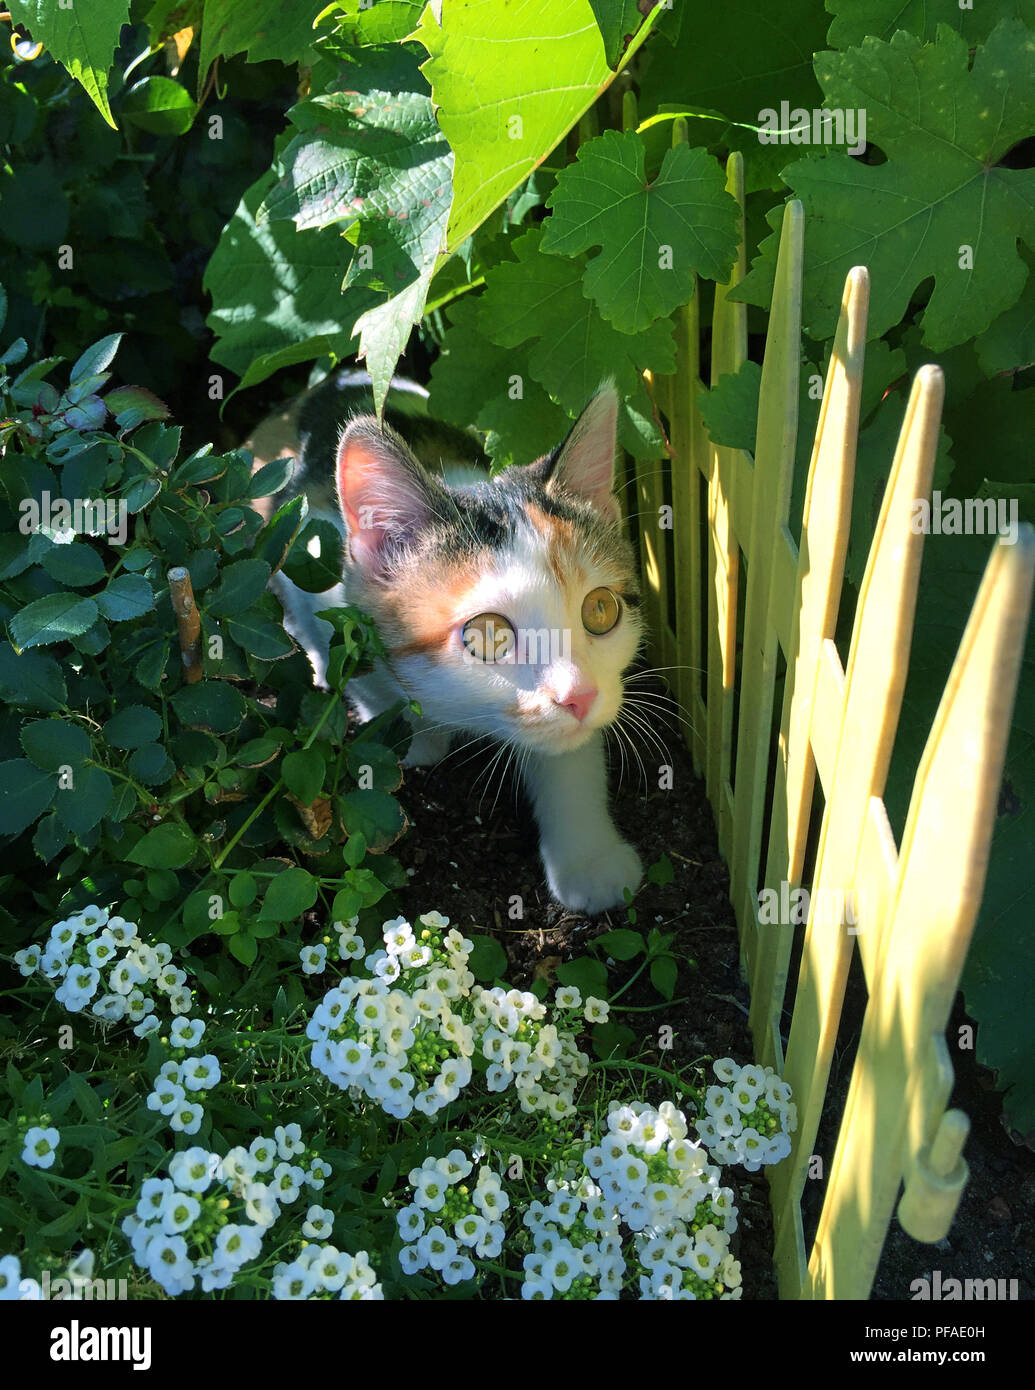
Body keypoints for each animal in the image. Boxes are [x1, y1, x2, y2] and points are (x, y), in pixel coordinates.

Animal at [254, 372, 641, 911]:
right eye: (486, 634)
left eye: (600, 610)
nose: (579, 697)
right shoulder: (324, 583)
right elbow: (368, 679)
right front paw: (416, 740)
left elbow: (568, 754)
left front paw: (589, 861)